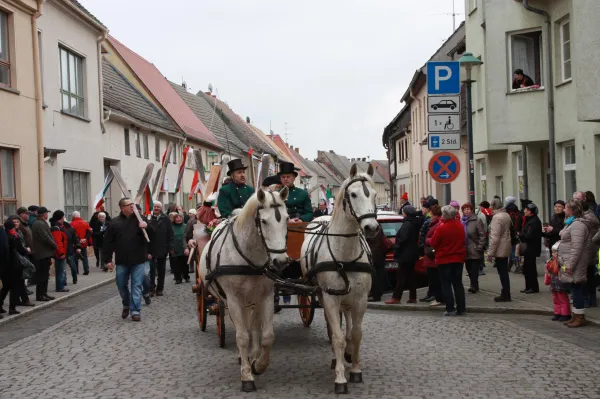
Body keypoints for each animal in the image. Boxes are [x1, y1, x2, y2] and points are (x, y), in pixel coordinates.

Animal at [198, 188, 290, 394]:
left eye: (287, 219)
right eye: (264, 221)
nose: (280, 261)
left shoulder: (266, 296)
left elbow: (267, 335)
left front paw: (259, 365)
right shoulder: (233, 299)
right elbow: (241, 337)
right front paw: (247, 376)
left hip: (253, 299)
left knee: (253, 326)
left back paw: (253, 355)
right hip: (231, 300)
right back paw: (244, 358)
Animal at [300, 164, 380, 396]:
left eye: (373, 194)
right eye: (353, 194)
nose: (372, 228)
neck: (345, 255)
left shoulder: (361, 299)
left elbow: (356, 334)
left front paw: (355, 369)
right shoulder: (330, 298)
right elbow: (336, 337)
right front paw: (340, 378)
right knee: (332, 327)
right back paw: (338, 359)